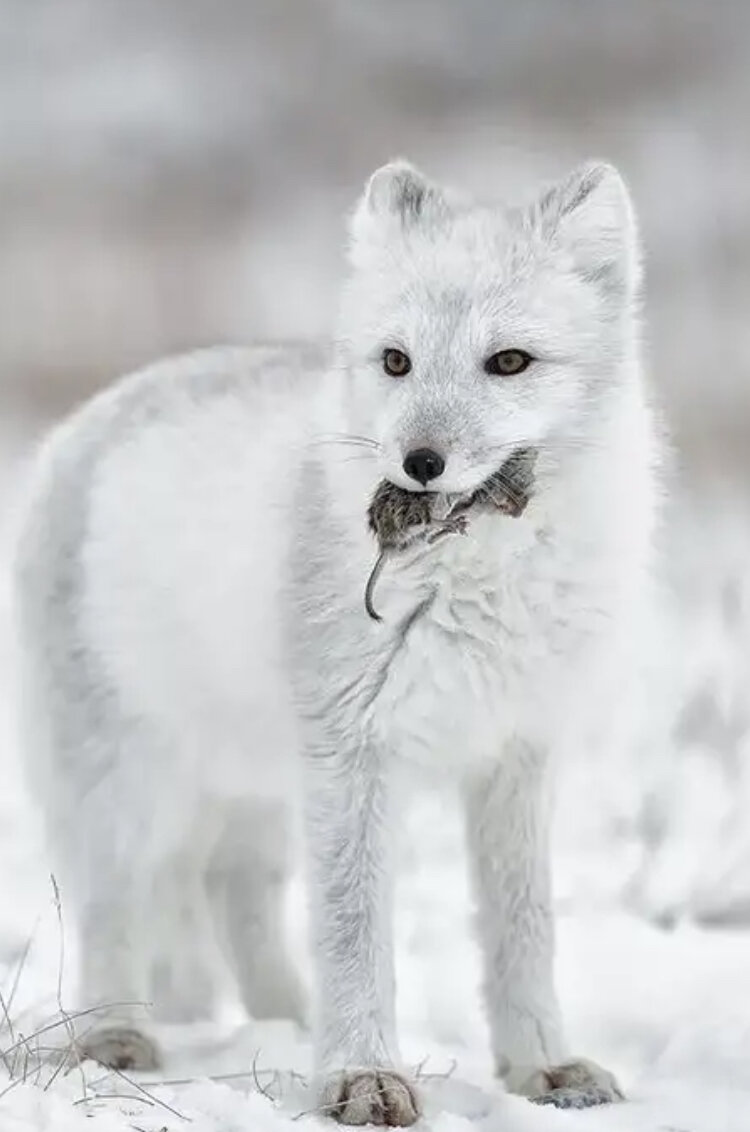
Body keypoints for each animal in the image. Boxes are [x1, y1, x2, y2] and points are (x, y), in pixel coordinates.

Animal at [13, 159, 656, 1122]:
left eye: (509, 361)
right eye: (396, 361)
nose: (418, 464)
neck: (475, 578)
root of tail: (92, 412)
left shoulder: (516, 753)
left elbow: (523, 925)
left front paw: (544, 1067)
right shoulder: (355, 754)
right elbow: (353, 929)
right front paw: (361, 1077)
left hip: (262, 783)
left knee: (232, 886)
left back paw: (283, 1021)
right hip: (131, 786)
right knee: (114, 904)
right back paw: (117, 1037)